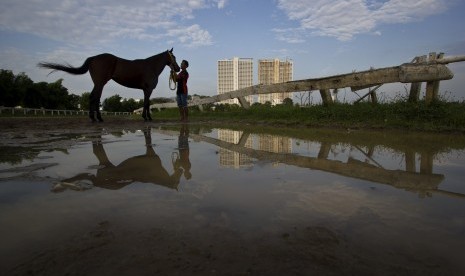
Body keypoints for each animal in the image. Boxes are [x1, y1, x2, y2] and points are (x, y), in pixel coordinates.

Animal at [37, 48, 179, 122]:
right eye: (174, 57)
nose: (177, 68)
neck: (151, 66)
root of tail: (93, 58)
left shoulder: (145, 90)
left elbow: (147, 103)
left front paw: (147, 117)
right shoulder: (148, 89)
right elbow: (146, 103)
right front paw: (146, 118)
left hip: (98, 83)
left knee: (93, 97)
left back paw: (94, 118)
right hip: (100, 83)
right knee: (95, 97)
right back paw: (97, 119)